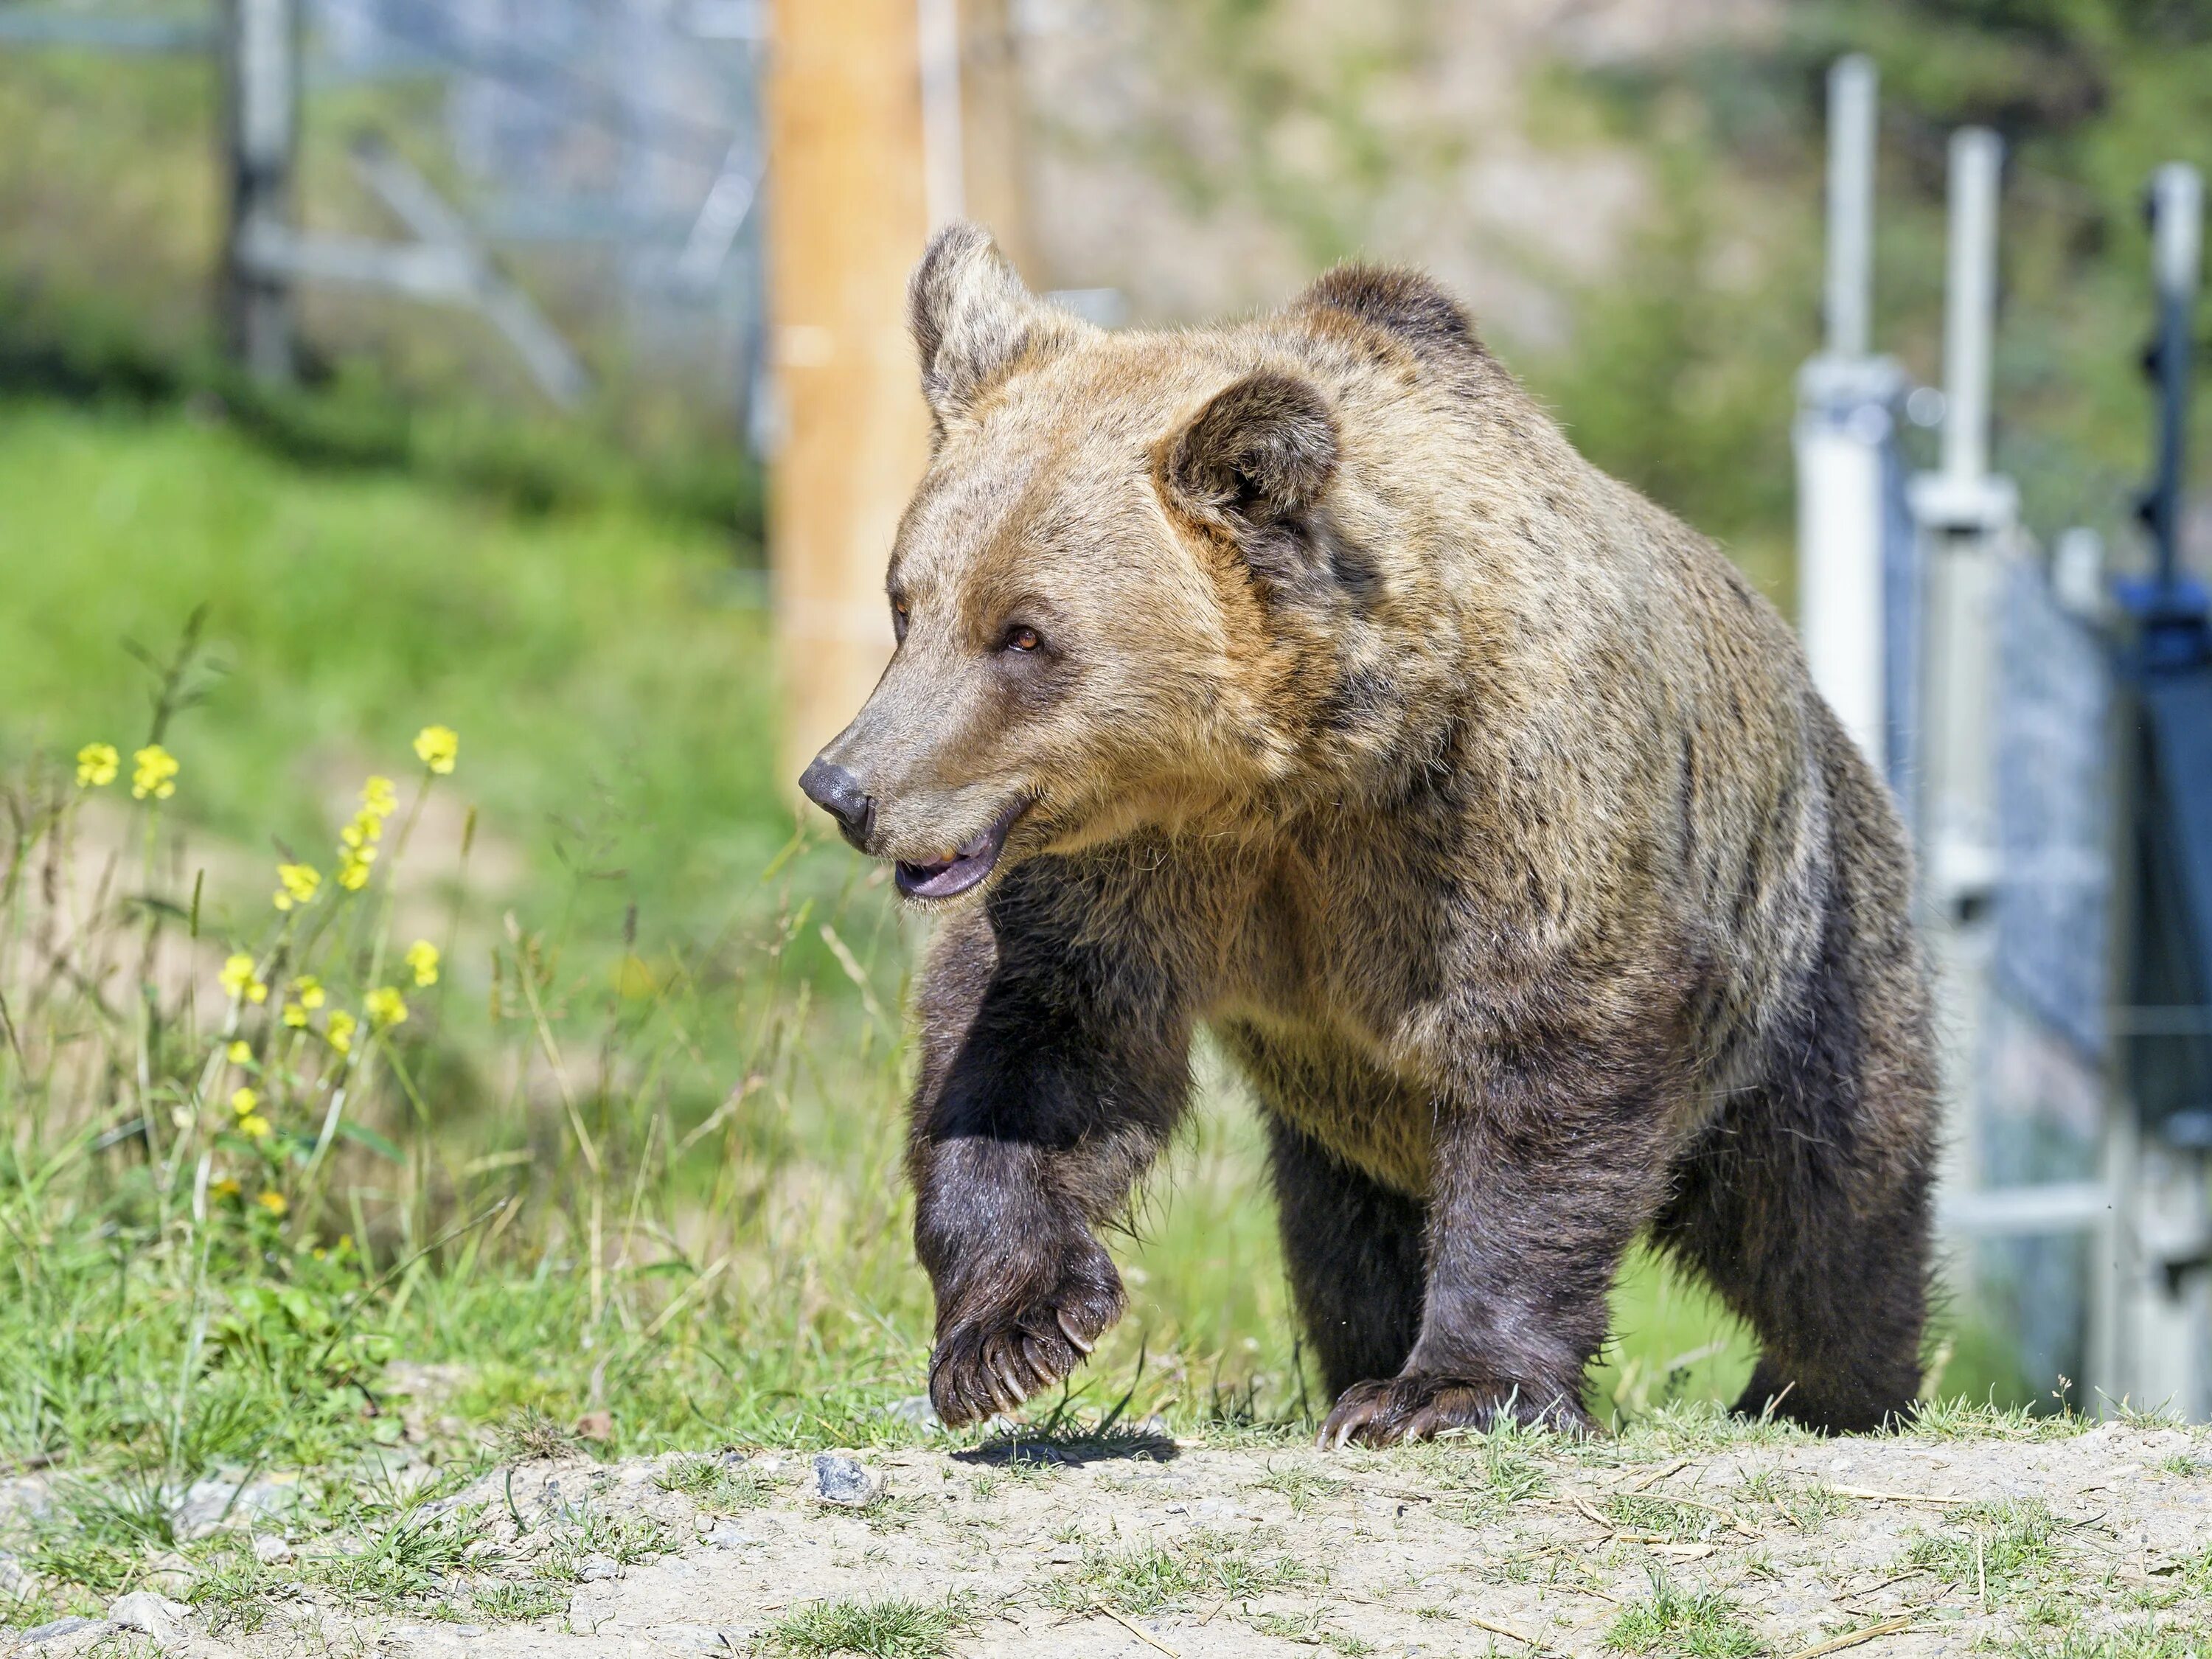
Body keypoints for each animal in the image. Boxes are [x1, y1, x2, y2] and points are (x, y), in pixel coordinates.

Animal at [801, 224, 1938, 1451]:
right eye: (909, 603)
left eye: (1024, 633)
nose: (844, 785)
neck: (1301, 774)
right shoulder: (1143, 872)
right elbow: (1038, 1044)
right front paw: (1011, 1332)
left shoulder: (1506, 810)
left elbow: (1553, 1055)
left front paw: (1449, 1389)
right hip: (1337, 1137)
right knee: (1346, 1245)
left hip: (1807, 955)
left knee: (1823, 1209)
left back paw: (1828, 1384)